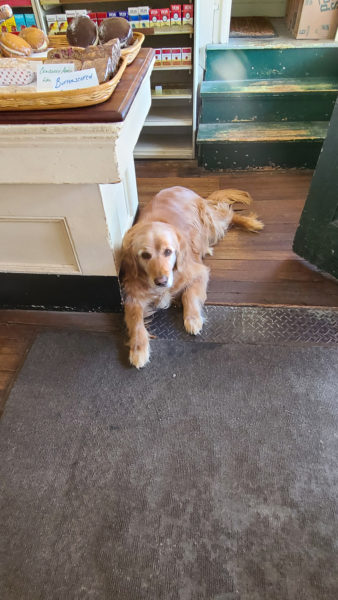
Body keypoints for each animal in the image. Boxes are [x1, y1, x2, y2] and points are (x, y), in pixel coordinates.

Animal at [119, 185, 264, 368]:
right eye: (145, 255)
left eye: (168, 251)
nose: (161, 282)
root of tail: (179, 187)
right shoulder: (133, 295)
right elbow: (135, 320)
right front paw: (138, 349)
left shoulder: (199, 272)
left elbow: (189, 294)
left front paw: (193, 319)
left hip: (210, 224)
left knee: (227, 214)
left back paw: (251, 223)